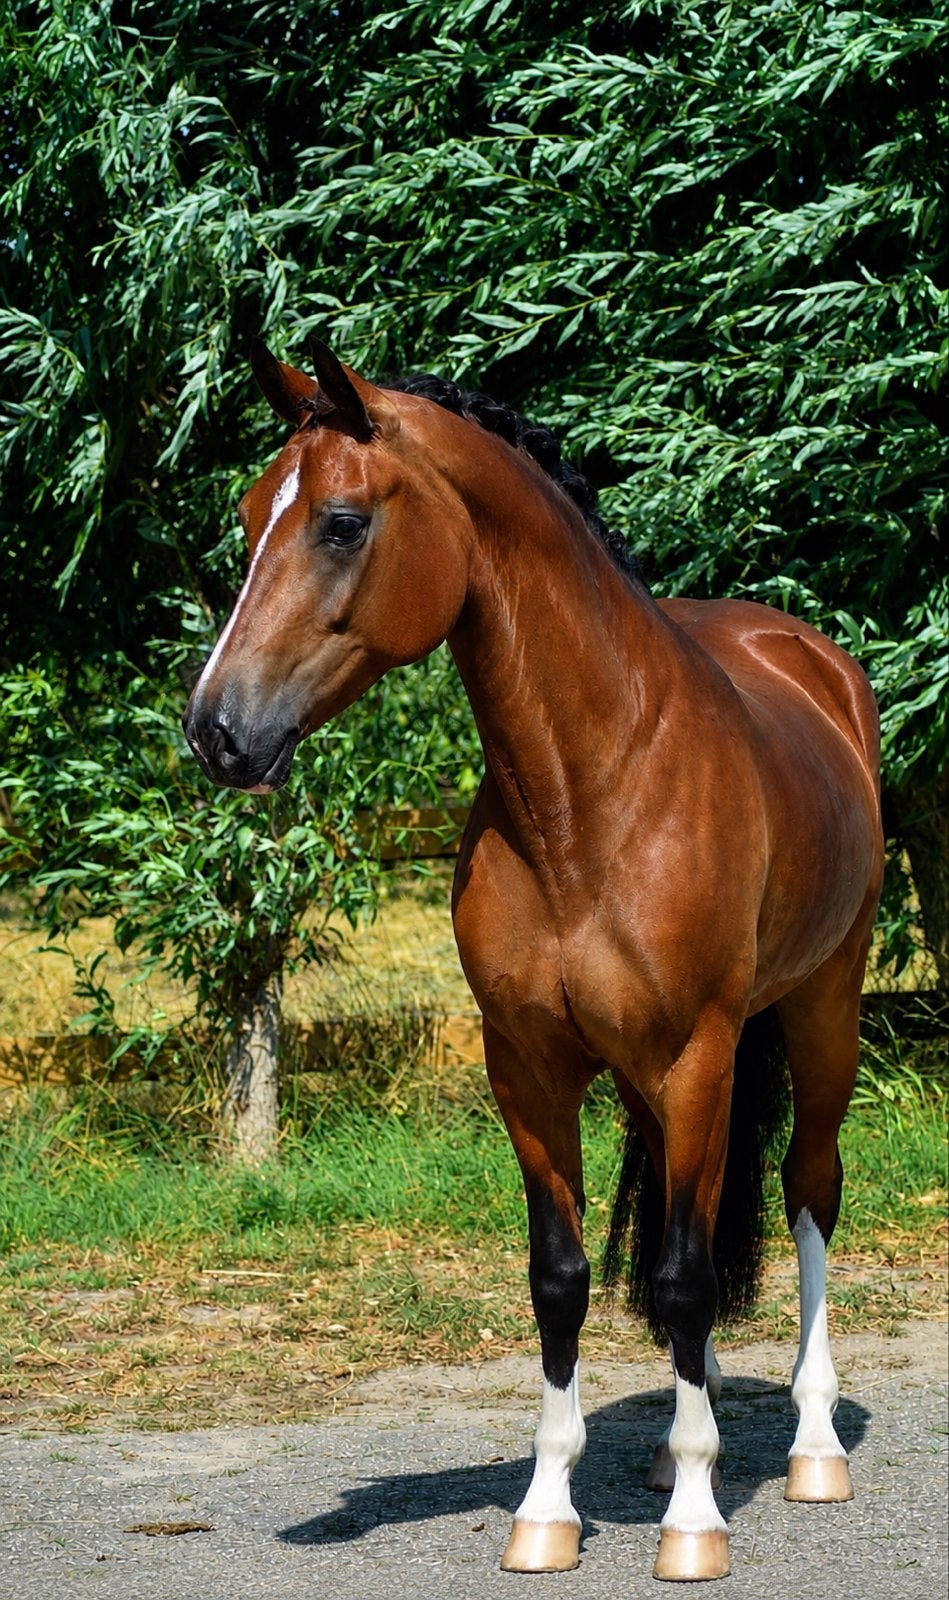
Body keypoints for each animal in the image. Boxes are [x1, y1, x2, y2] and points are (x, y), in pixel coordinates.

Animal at [183, 338, 884, 1582]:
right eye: (251, 512)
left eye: (343, 523)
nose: (216, 729)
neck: (590, 789)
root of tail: (807, 658)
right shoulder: (527, 1066)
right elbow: (563, 1277)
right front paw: (548, 1506)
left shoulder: (698, 1055)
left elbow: (686, 1274)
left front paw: (694, 1523)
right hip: (668, 1082)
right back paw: (672, 1440)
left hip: (818, 1010)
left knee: (808, 1191)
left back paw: (808, 1447)